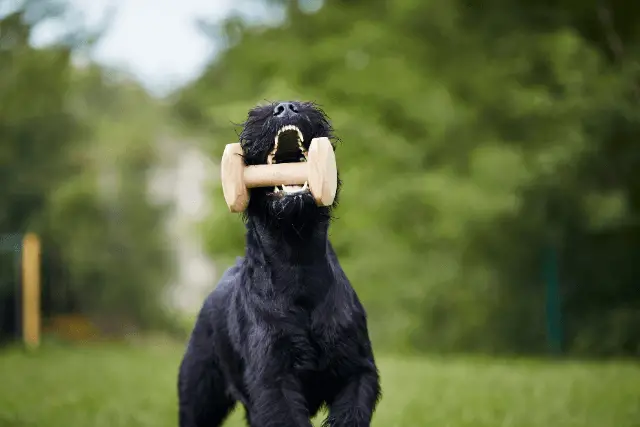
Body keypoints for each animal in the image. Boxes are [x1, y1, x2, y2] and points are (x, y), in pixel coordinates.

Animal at [178, 101, 380, 427]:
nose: (285, 106)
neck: (297, 262)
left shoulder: (358, 370)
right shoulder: (274, 380)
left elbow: (351, 412)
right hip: (200, 393)